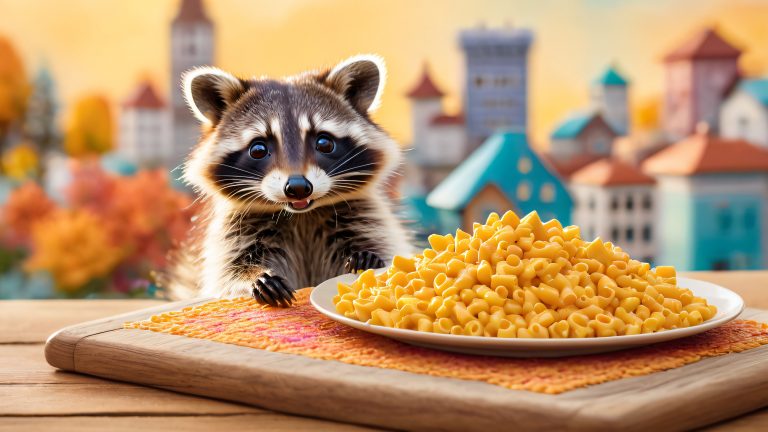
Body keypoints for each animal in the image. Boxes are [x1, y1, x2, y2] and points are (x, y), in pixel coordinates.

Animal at [166, 55, 413, 307]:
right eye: (258, 149)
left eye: (324, 143)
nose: (298, 188)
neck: (301, 215)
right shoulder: (236, 232)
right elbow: (230, 272)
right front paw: (251, 276)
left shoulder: (366, 217)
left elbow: (383, 246)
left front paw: (367, 258)